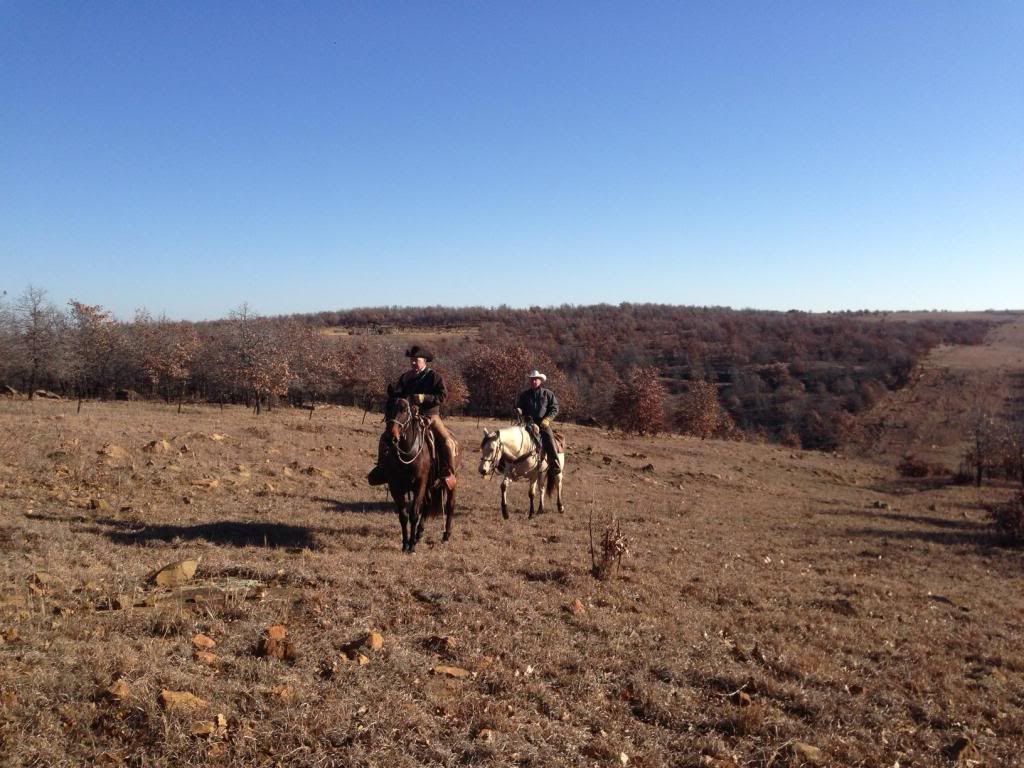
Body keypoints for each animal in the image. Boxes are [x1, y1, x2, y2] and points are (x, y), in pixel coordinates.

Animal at [382, 397, 458, 552]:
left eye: (404, 410)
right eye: (387, 407)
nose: (390, 438)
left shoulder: (419, 485)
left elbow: (414, 514)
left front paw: (411, 547)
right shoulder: (395, 487)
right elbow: (403, 516)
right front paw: (406, 544)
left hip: (449, 483)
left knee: (449, 505)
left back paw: (446, 535)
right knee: (428, 503)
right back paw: (419, 534)